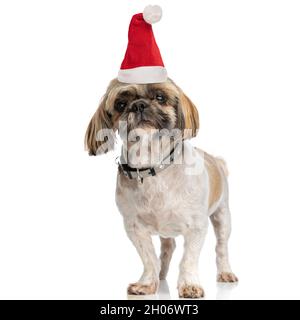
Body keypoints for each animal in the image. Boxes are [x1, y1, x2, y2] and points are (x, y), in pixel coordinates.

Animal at [85, 77, 238, 298]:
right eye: (120, 104)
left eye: (160, 97)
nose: (138, 105)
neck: (153, 166)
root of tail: (215, 160)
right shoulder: (134, 227)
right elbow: (149, 258)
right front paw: (148, 283)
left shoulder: (197, 226)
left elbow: (188, 259)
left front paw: (189, 285)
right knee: (168, 247)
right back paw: (161, 274)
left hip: (223, 215)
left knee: (221, 247)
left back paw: (225, 272)